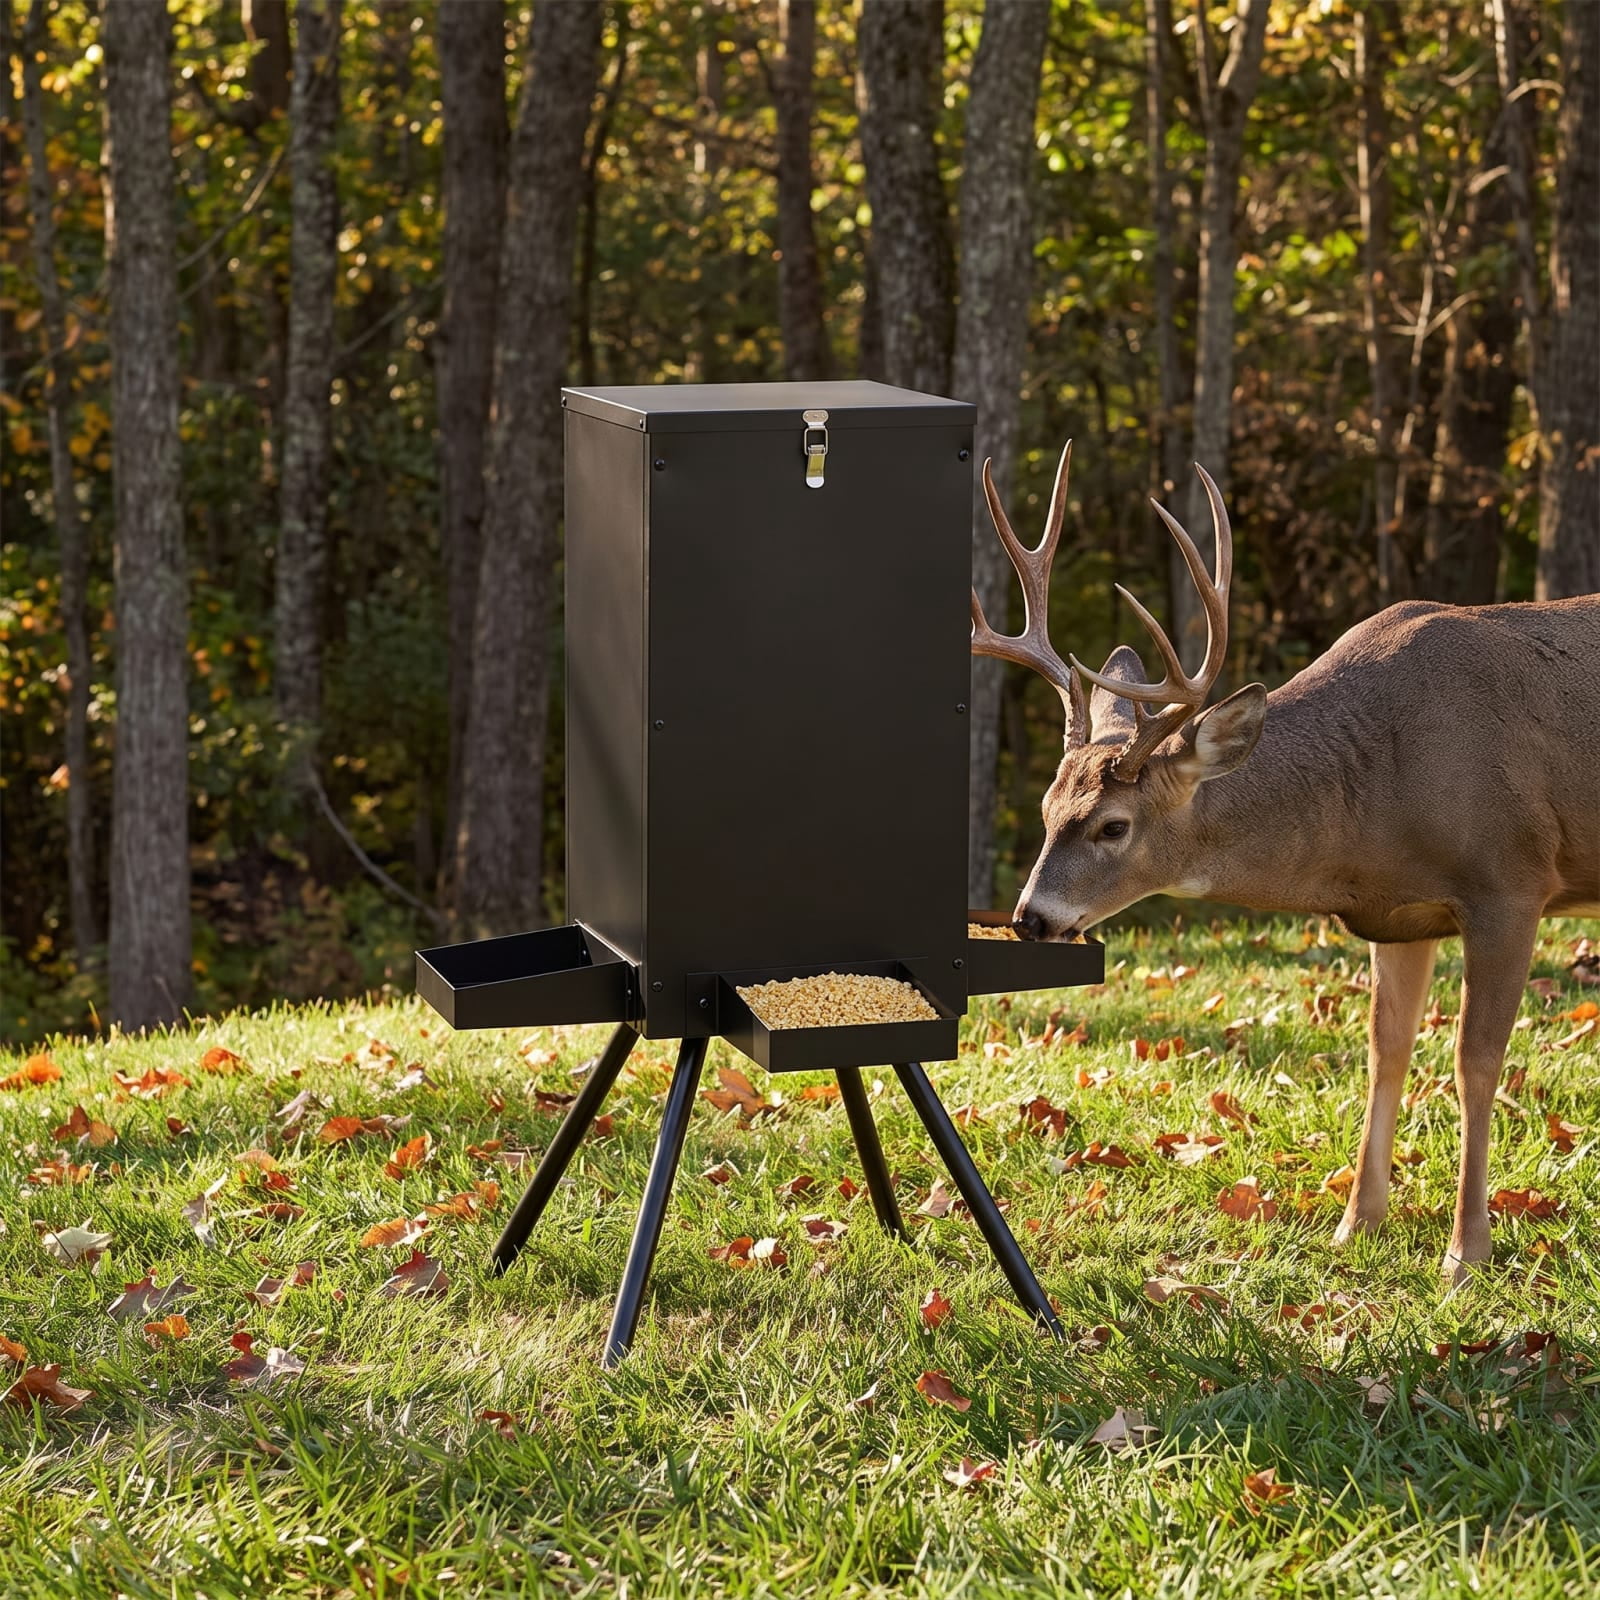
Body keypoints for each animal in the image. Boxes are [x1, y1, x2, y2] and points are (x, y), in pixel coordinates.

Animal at [971, 442, 1600, 1284]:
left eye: (1112, 826)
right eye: (1044, 810)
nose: (1030, 919)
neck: (1375, 796)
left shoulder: (1511, 881)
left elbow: (1477, 1060)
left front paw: (1465, 1252)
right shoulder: (1401, 916)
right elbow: (1385, 1052)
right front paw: (1355, 1225)